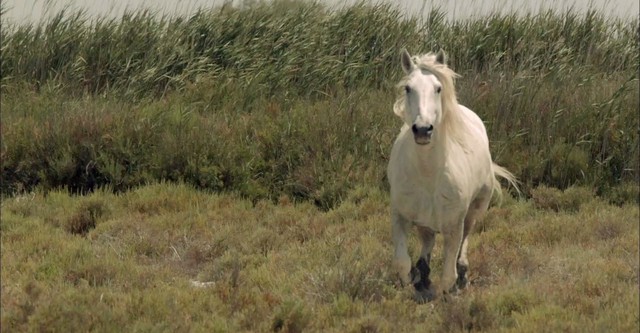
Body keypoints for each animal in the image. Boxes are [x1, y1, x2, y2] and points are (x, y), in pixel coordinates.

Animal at [388, 48, 516, 300]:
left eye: (438, 88)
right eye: (408, 88)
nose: (423, 130)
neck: (428, 175)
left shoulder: (454, 224)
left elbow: (448, 274)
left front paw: (450, 292)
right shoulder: (400, 216)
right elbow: (402, 262)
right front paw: (414, 280)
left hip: (475, 208)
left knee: (465, 238)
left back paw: (463, 274)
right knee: (427, 239)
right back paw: (423, 276)